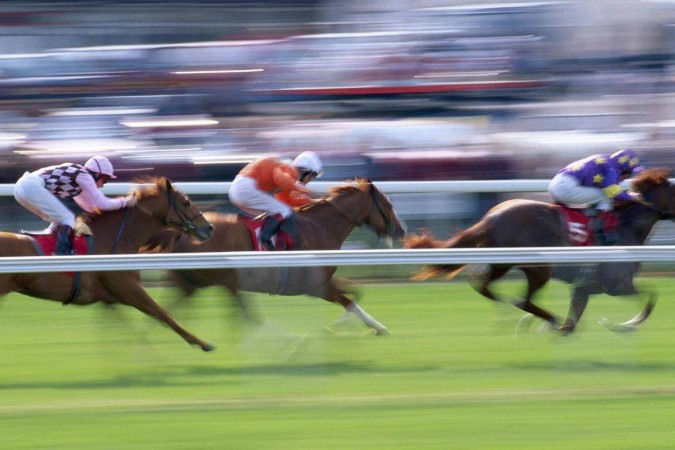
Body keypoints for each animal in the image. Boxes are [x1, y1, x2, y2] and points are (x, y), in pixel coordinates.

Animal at [0, 177, 217, 352]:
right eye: (186, 202)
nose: (209, 227)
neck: (113, 238)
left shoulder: (110, 298)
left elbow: (124, 326)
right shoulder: (129, 289)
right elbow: (163, 314)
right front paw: (203, 343)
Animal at [143, 178, 406, 336]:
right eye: (387, 204)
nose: (401, 231)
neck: (320, 226)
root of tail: (183, 233)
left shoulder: (324, 281)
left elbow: (356, 292)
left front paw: (343, 325)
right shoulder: (315, 286)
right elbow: (349, 300)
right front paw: (375, 327)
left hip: (192, 282)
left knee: (166, 310)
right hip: (218, 279)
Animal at [406, 167, 675, 332]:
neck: (626, 225)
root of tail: (491, 218)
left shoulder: (584, 287)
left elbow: (573, 322)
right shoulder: (615, 284)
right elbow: (651, 299)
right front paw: (622, 325)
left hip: (503, 263)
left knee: (482, 284)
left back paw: (514, 313)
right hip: (538, 267)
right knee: (521, 300)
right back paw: (541, 318)